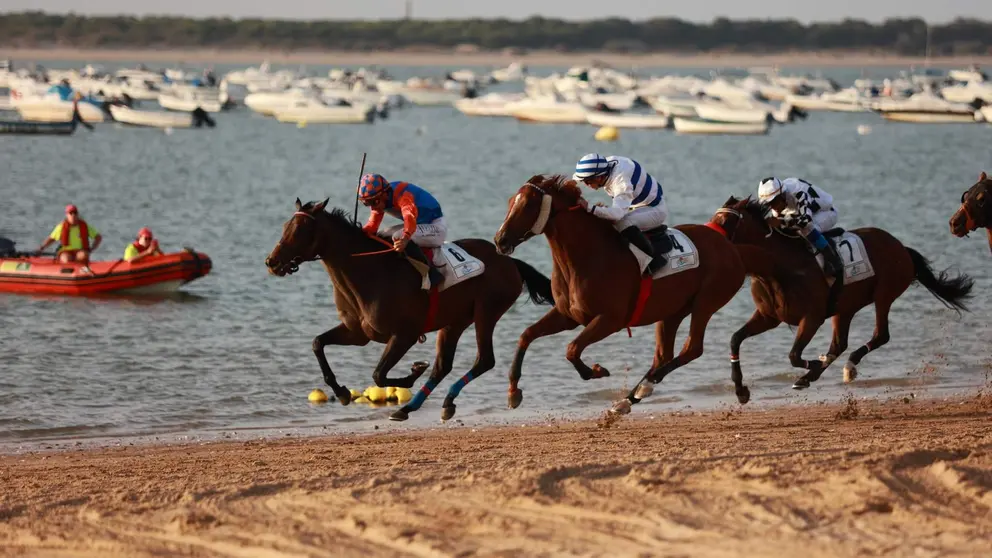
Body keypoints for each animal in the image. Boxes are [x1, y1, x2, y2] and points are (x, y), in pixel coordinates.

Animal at [265, 199, 555, 422]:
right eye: (284, 226)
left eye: (300, 229)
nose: (272, 262)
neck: (368, 272)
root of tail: (510, 261)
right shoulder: (357, 333)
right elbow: (317, 343)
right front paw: (342, 392)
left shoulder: (404, 334)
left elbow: (379, 374)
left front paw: (413, 372)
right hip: (455, 321)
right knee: (443, 365)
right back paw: (415, 407)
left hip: (487, 311)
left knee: (484, 360)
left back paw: (435, 401)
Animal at [492, 175, 782, 414]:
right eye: (509, 202)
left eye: (528, 205)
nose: (500, 240)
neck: (589, 255)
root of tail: (729, 245)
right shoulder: (568, 315)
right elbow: (526, 335)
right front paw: (513, 391)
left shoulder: (610, 320)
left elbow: (572, 349)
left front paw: (596, 371)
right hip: (672, 311)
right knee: (664, 356)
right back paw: (627, 400)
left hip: (706, 302)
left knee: (692, 349)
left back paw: (644, 389)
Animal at [711, 196, 973, 396]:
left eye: (725, 221)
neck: (777, 266)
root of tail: (901, 247)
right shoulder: (768, 316)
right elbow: (735, 339)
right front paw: (740, 389)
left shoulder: (812, 317)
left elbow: (794, 355)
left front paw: (813, 364)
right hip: (845, 307)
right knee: (839, 344)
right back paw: (812, 376)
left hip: (884, 294)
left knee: (880, 335)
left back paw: (846, 367)